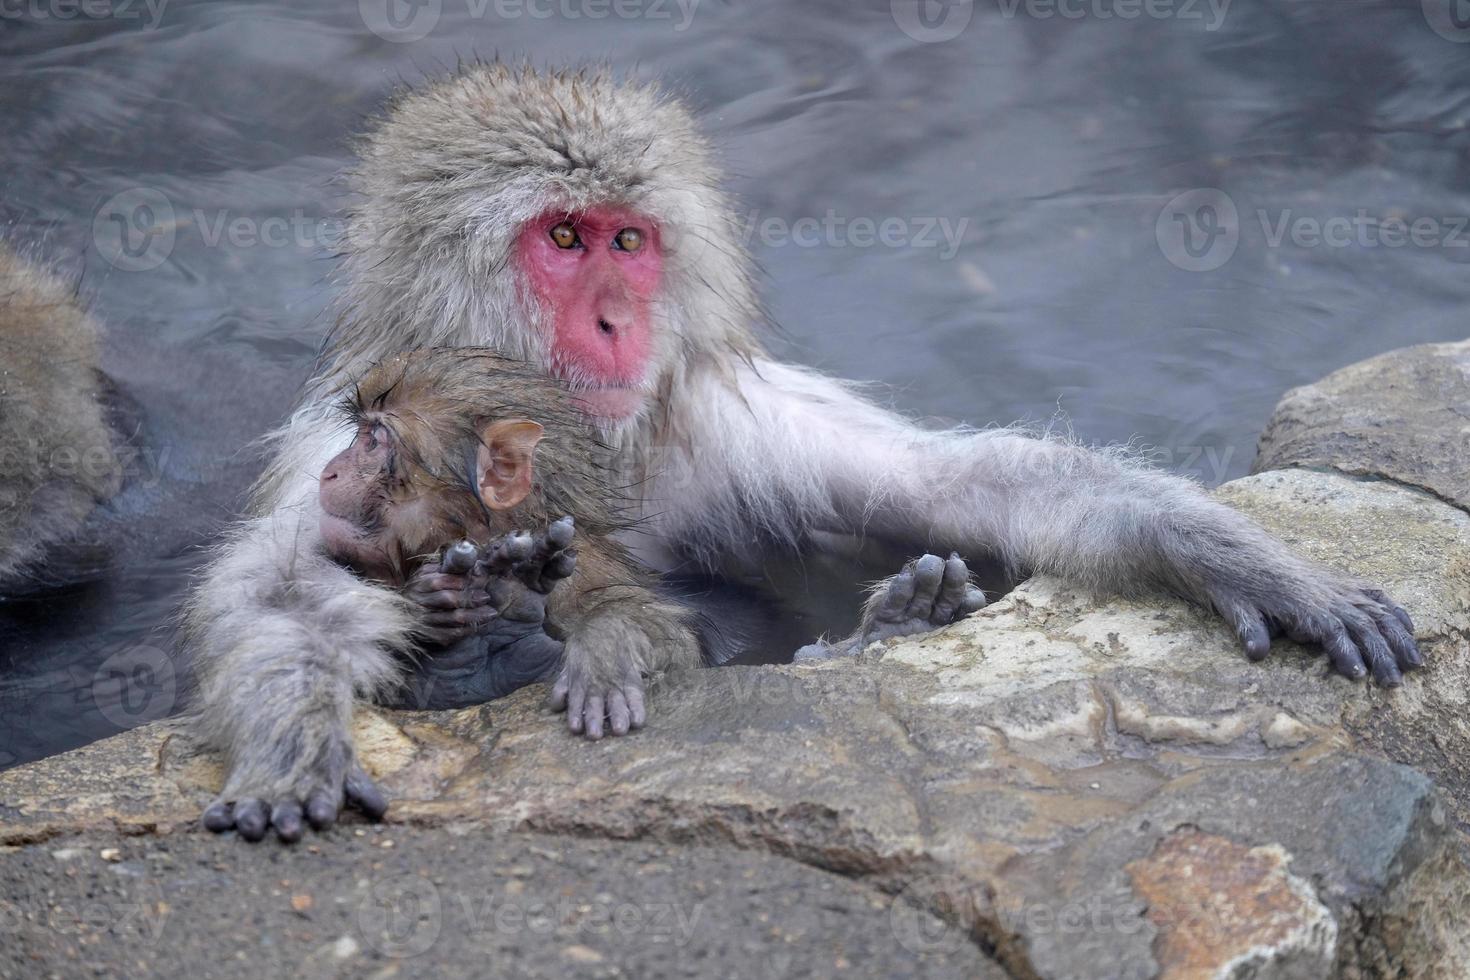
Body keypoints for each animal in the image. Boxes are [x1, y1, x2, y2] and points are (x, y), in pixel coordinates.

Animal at [186, 65, 1411, 834]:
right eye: (563, 238)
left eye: (629, 242)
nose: (619, 321)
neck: (589, 441)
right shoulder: (333, 458)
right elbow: (289, 597)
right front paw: (296, 741)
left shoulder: (723, 420)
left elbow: (959, 483)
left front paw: (1250, 566)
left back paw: (893, 621)